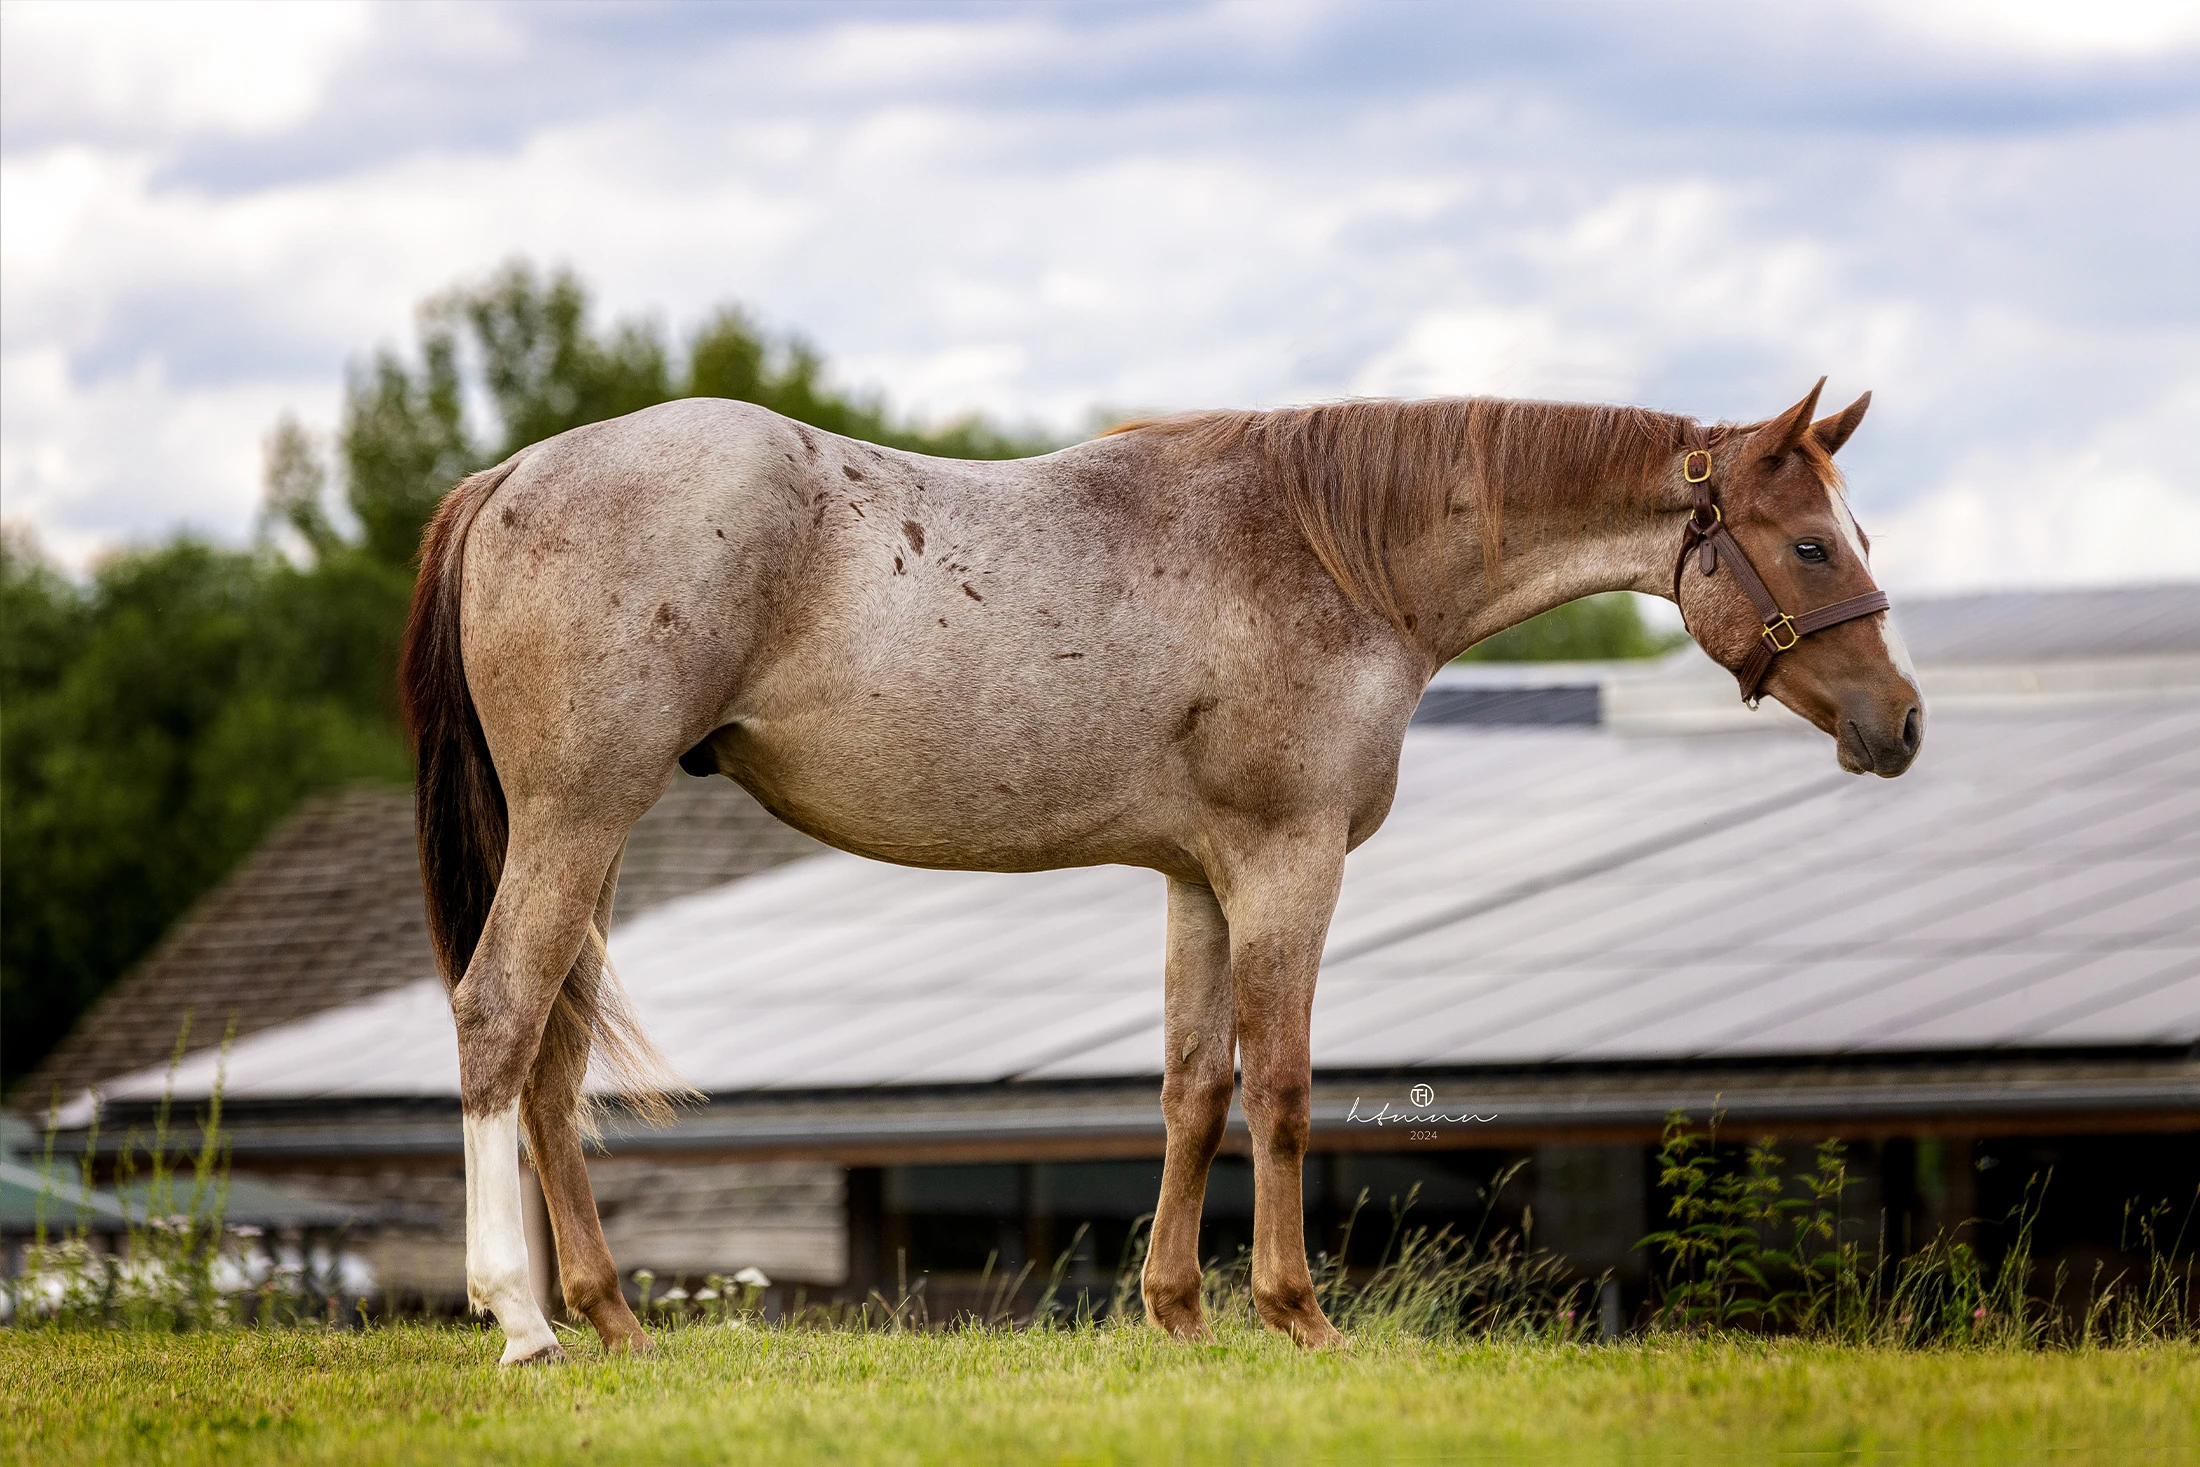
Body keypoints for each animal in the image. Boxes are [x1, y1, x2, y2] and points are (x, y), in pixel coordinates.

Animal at [404, 376, 1918, 1363]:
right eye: (1807, 542)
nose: (1898, 723)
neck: (1329, 555)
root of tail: (512, 475)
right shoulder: (1286, 864)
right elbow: (1285, 1090)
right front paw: (1297, 1315)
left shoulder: (1197, 879)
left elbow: (1195, 1087)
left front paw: (1179, 1311)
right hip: (577, 817)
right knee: (498, 1019)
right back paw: (521, 1319)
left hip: (592, 836)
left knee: (552, 1059)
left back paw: (609, 1319)